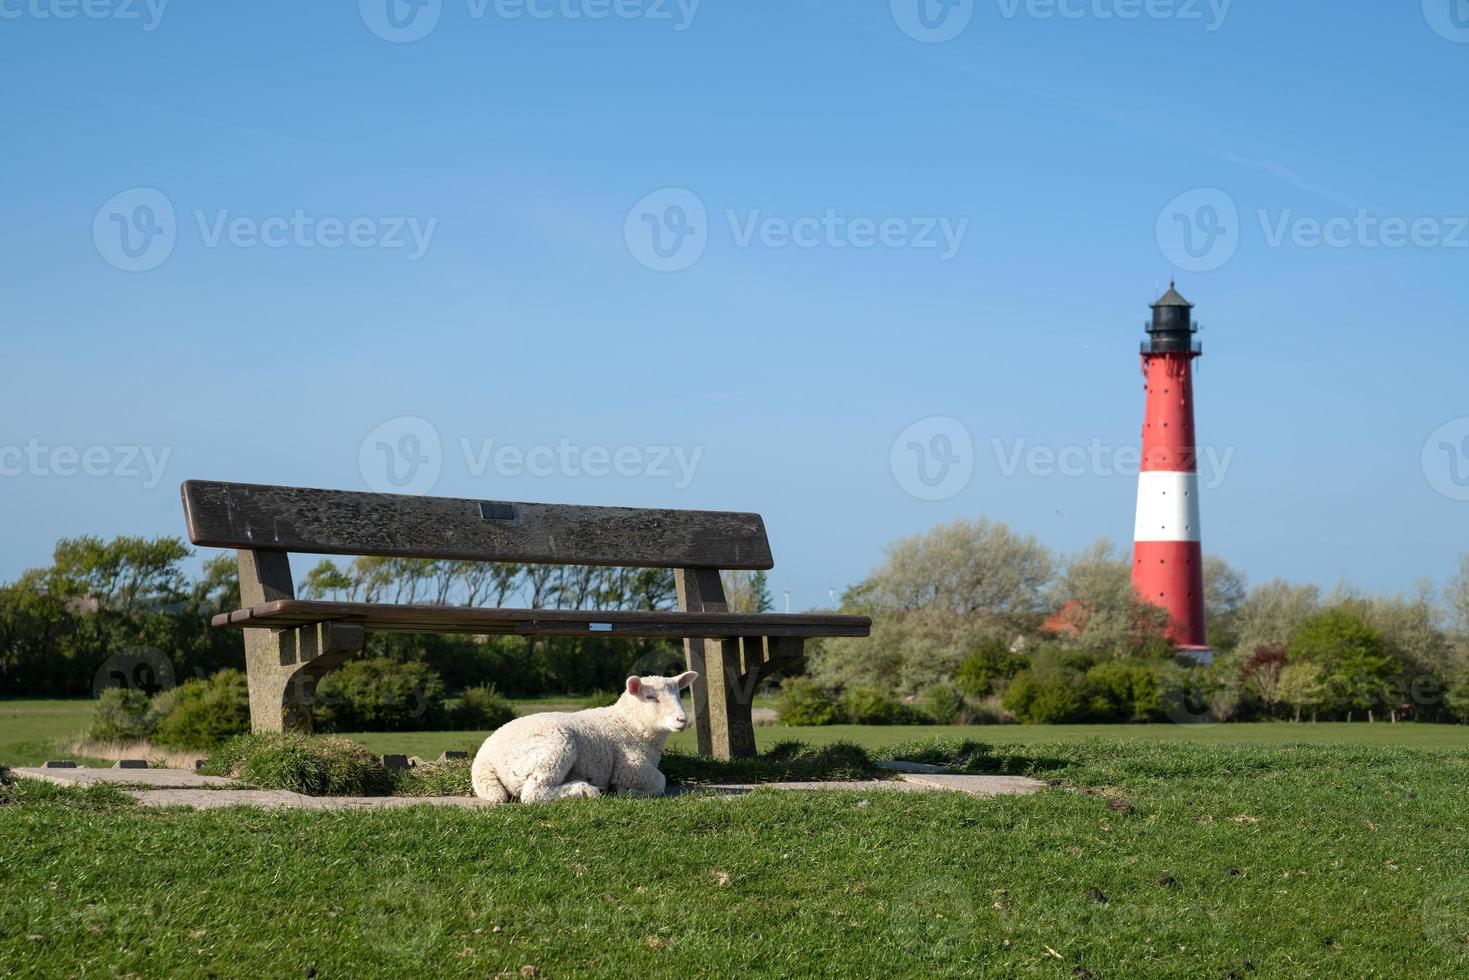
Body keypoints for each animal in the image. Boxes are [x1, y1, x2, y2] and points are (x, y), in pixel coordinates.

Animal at [473, 675, 696, 805]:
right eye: (650, 697)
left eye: (678, 694)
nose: (682, 720)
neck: (629, 724)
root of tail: (482, 761)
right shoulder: (630, 766)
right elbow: (661, 781)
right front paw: (628, 791)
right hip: (554, 748)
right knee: (533, 793)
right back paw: (585, 790)